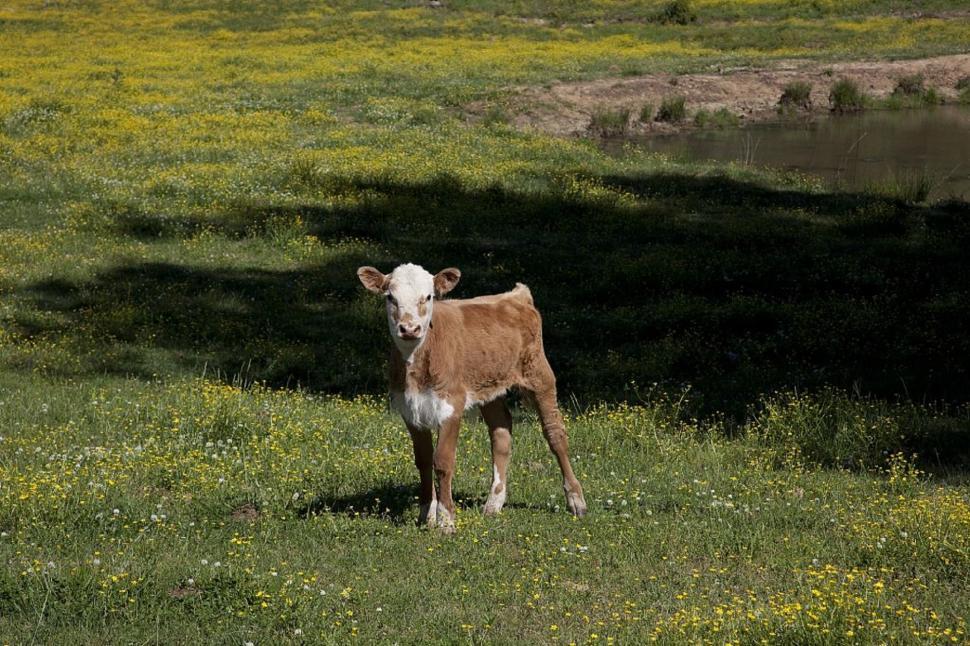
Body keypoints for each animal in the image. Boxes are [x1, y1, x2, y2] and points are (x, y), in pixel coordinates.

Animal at [357, 263, 587, 533]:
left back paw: (576, 500)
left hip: (540, 375)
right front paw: (425, 516)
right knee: (501, 432)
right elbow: (423, 460)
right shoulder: (410, 409)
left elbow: (443, 461)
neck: (416, 363)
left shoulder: (451, 406)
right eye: (390, 297)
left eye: (429, 296)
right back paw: (494, 503)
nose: (410, 328)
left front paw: (446, 521)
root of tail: (515, 296)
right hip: (489, 388)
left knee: (555, 434)